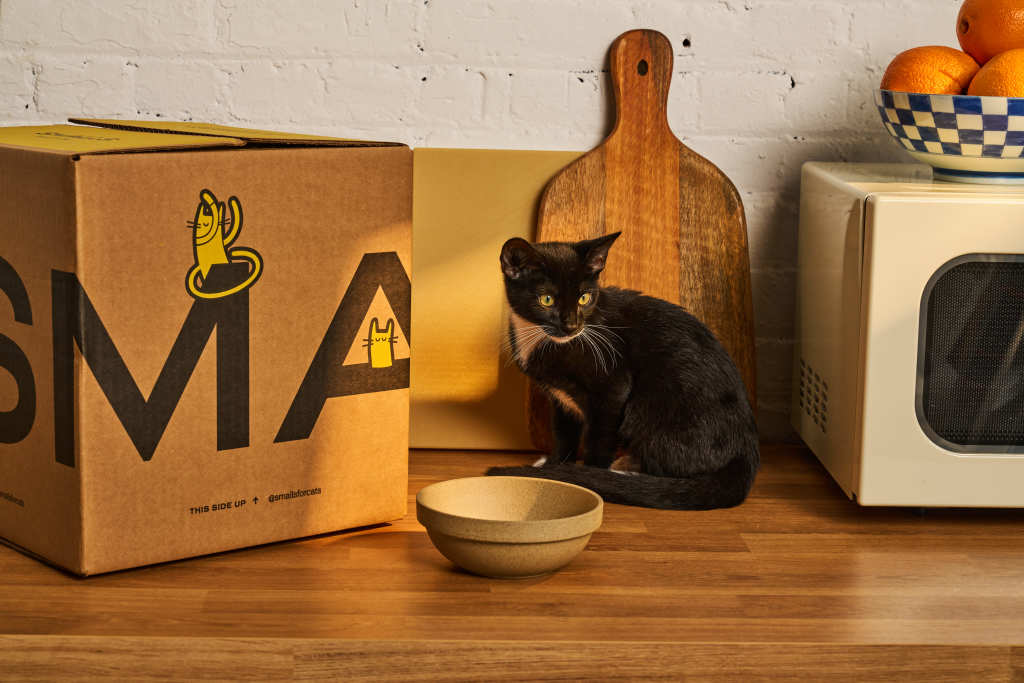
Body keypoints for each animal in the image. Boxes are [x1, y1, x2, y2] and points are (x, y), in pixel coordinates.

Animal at [487, 232, 761, 509]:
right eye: (547, 300)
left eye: (584, 298)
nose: (572, 325)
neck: (539, 338)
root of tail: (746, 450)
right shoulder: (560, 398)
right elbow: (564, 433)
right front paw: (556, 465)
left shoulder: (612, 387)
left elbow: (599, 438)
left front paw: (586, 475)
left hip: (650, 407)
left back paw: (626, 470)